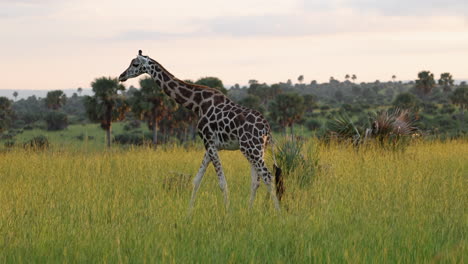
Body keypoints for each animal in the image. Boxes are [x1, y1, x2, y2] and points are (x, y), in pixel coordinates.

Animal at [119, 49, 284, 210]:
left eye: (135, 64)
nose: (121, 76)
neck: (197, 104)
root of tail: (266, 128)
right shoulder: (211, 144)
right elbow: (197, 179)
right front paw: (189, 213)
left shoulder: (209, 142)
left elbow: (222, 183)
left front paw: (228, 213)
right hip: (254, 149)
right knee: (256, 181)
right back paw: (250, 212)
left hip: (252, 148)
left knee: (268, 176)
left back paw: (278, 213)